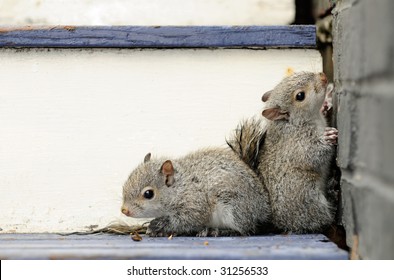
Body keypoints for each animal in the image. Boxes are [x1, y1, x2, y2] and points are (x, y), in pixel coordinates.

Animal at [121, 148, 272, 237]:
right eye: (125, 185)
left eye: (148, 194)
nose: (124, 210)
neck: (179, 188)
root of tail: (263, 208)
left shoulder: (194, 204)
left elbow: (187, 220)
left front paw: (158, 225)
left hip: (234, 208)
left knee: (245, 229)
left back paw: (216, 231)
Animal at [228, 71, 338, 233]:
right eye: (300, 96)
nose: (323, 76)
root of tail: (276, 221)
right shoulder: (296, 145)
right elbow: (313, 155)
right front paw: (327, 137)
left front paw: (326, 103)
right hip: (304, 195)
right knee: (318, 219)